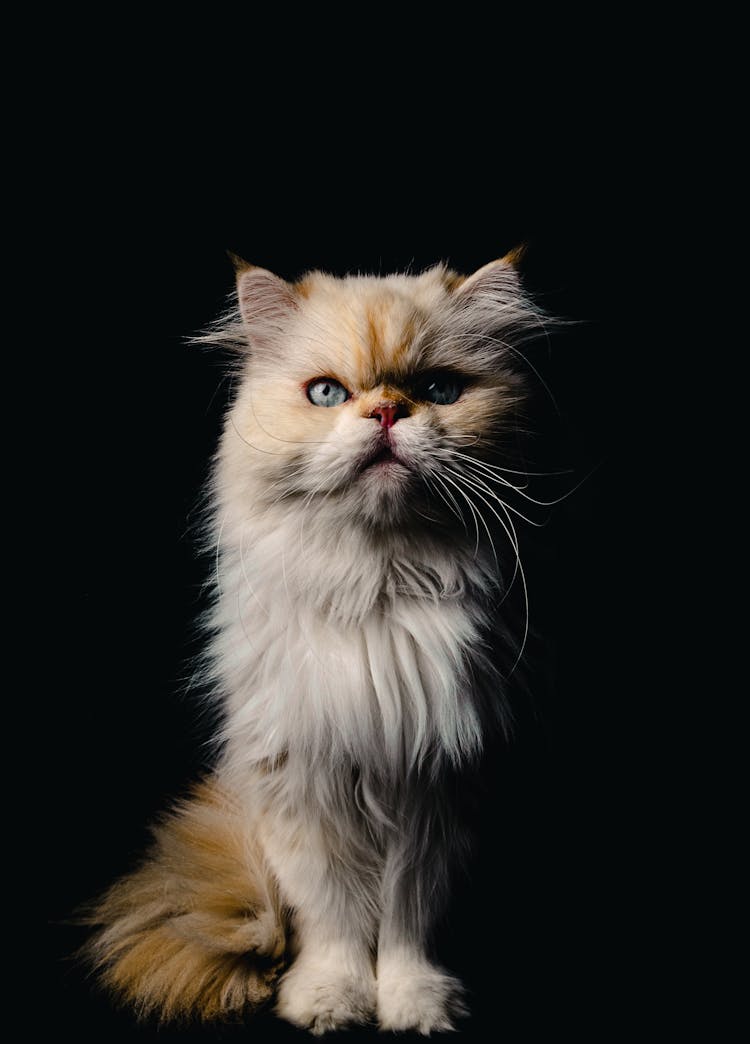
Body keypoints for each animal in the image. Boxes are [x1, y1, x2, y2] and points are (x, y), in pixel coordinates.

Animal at [85, 252, 551, 1035]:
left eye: (439, 390)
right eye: (328, 393)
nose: (387, 412)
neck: (376, 592)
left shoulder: (436, 791)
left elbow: (406, 919)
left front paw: (413, 1003)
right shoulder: (303, 783)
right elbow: (333, 917)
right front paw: (331, 998)